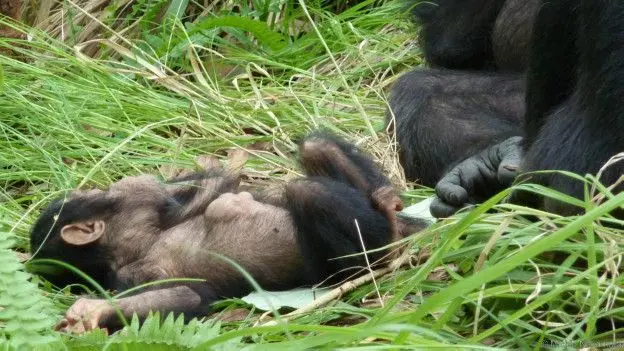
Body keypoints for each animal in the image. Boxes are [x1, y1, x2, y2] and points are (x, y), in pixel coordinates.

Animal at [28, 131, 420, 332]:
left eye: (94, 190)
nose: (99, 186)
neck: (134, 243)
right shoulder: (136, 271)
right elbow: (187, 295)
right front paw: (93, 312)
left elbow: (205, 187)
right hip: (343, 261)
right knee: (308, 194)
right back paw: (389, 233)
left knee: (314, 146)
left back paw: (386, 199)